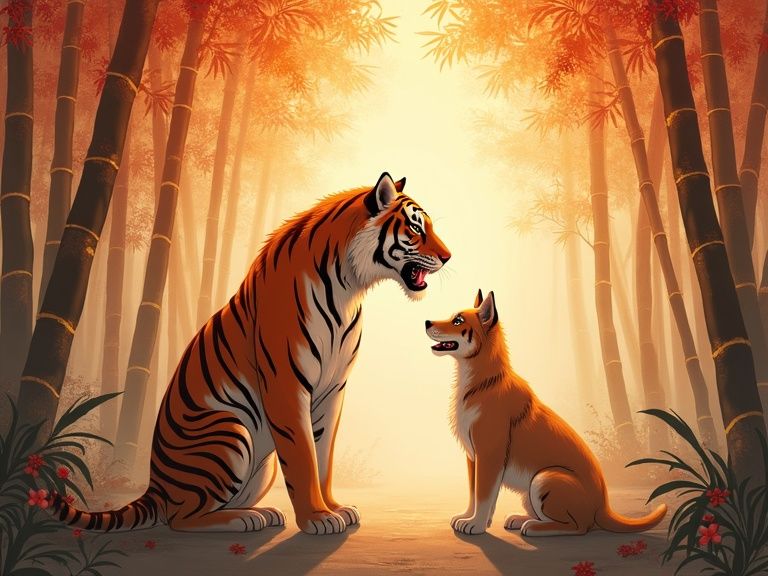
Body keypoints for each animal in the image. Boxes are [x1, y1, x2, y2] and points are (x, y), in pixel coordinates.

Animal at [49, 172, 451, 535]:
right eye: (416, 228)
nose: (448, 257)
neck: (349, 286)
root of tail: (155, 488)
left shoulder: (334, 388)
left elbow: (324, 455)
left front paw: (335, 507)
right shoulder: (288, 383)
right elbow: (303, 457)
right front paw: (317, 518)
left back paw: (262, 513)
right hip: (229, 432)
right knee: (182, 518)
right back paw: (244, 519)